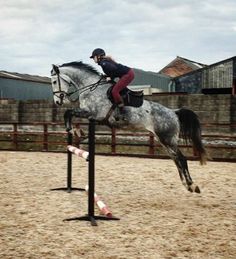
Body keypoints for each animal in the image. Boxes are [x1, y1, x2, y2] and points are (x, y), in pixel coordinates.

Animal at [50, 62, 206, 194]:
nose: (57, 102)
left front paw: (72, 130)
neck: (90, 88)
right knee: (176, 159)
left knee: (182, 159)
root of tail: (174, 112)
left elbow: (68, 112)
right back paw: (187, 185)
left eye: (54, 81)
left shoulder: (93, 113)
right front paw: (77, 131)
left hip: (168, 139)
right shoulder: (90, 115)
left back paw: (193, 186)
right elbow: (69, 114)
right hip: (164, 140)